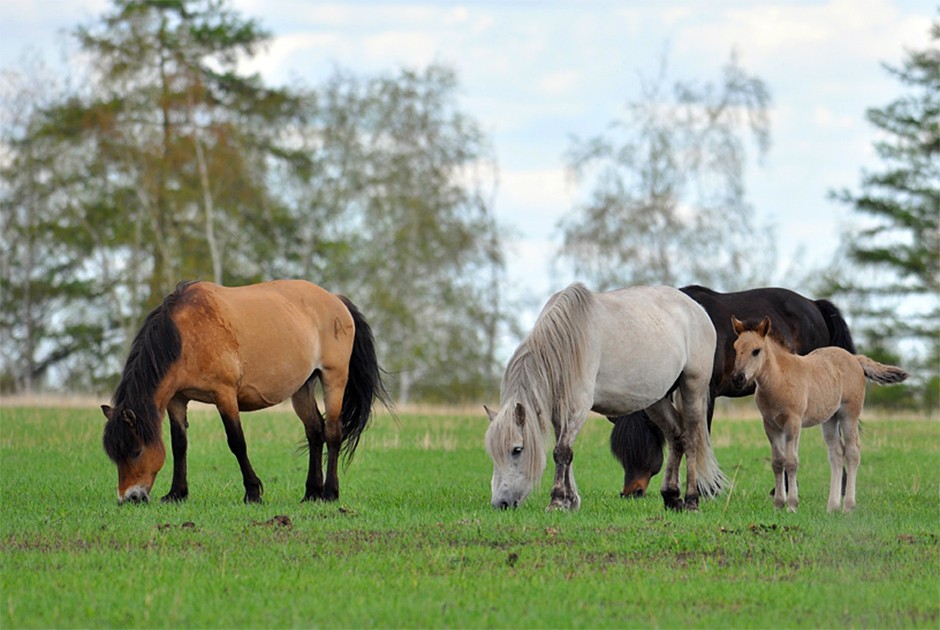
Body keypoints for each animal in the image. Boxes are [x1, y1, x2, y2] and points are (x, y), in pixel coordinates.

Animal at [104, 278, 392, 506]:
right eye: (115, 455)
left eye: (136, 451)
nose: (129, 498)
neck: (184, 337)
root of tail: (336, 300)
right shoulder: (177, 399)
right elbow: (179, 445)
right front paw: (177, 493)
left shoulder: (224, 395)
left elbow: (237, 442)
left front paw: (253, 492)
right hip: (302, 388)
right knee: (314, 431)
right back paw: (311, 492)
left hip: (334, 378)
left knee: (332, 433)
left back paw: (330, 493)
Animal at [484, 286, 728, 512]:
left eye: (517, 449)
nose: (500, 503)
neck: (567, 339)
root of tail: (697, 309)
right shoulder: (559, 411)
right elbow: (564, 451)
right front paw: (570, 501)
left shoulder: (578, 406)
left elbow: (562, 451)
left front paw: (557, 501)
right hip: (657, 400)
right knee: (676, 437)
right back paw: (671, 497)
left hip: (693, 388)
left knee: (691, 440)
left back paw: (691, 500)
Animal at [608, 286, 860, 498]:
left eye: (645, 445)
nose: (630, 492)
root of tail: (815, 305)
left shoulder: (705, 393)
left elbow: (701, 434)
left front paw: (706, 488)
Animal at [732, 318, 908, 516]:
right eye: (735, 348)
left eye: (756, 351)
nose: (737, 379)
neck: (778, 379)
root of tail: (855, 358)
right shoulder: (770, 424)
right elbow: (777, 462)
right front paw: (778, 504)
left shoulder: (793, 423)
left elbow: (791, 462)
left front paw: (792, 505)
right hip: (830, 419)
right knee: (836, 453)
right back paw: (832, 507)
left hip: (849, 415)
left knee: (853, 451)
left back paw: (848, 506)